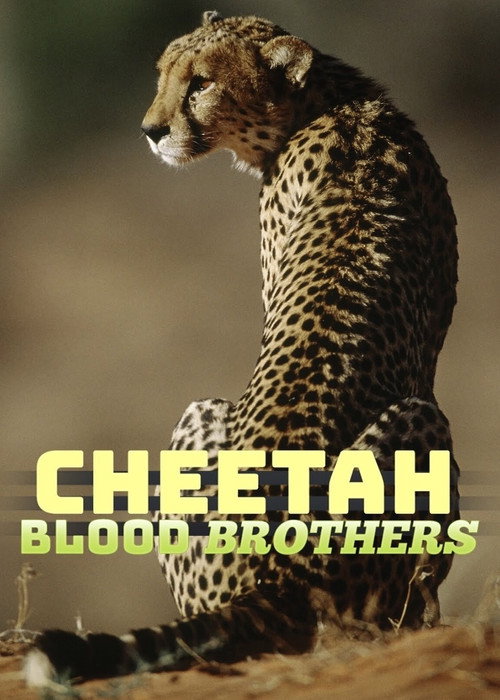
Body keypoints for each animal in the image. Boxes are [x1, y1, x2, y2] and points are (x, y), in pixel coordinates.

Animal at [25, 10, 459, 687]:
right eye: (163, 74)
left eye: (201, 83)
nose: (150, 132)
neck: (327, 102)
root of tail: (267, 577)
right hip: (403, 419)